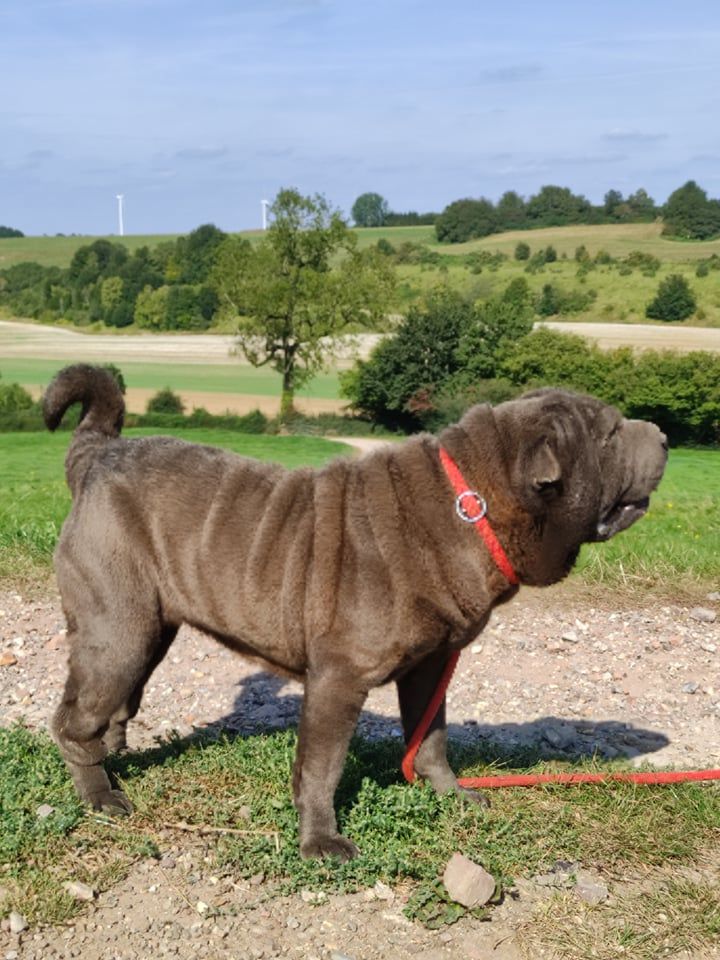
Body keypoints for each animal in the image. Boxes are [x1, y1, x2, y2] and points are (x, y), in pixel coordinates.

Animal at [42, 364, 668, 860]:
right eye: (611, 433)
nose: (662, 434)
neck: (474, 504)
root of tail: (99, 453)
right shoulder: (339, 679)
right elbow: (322, 768)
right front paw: (320, 841)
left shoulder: (430, 668)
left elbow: (431, 739)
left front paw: (448, 794)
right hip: (119, 631)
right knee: (73, 721)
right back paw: (101, 794)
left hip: (148, 631)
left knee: (115, 706)